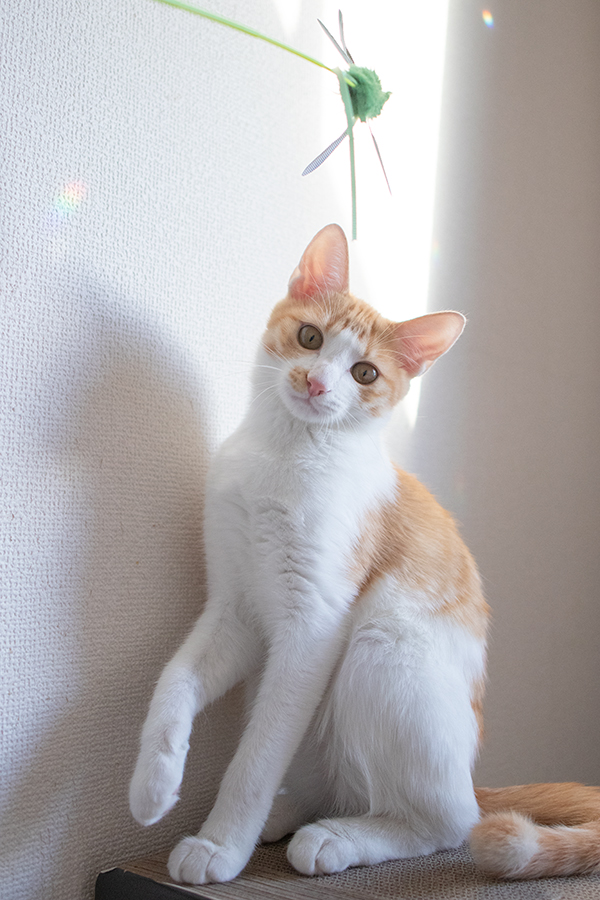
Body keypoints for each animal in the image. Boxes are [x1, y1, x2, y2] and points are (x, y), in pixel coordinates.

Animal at [129, 224, 600, 885]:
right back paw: (293, 813)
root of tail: (472, 782)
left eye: (366, 373)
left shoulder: (314, 624)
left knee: (446, 823)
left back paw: (338, 838)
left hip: (383, 648)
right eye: (309, 337)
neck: (285, 453)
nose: (316, 383)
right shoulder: (234, 608)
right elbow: (174, 680)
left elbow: (256, 756)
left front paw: (221, 844)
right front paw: (154, 781)